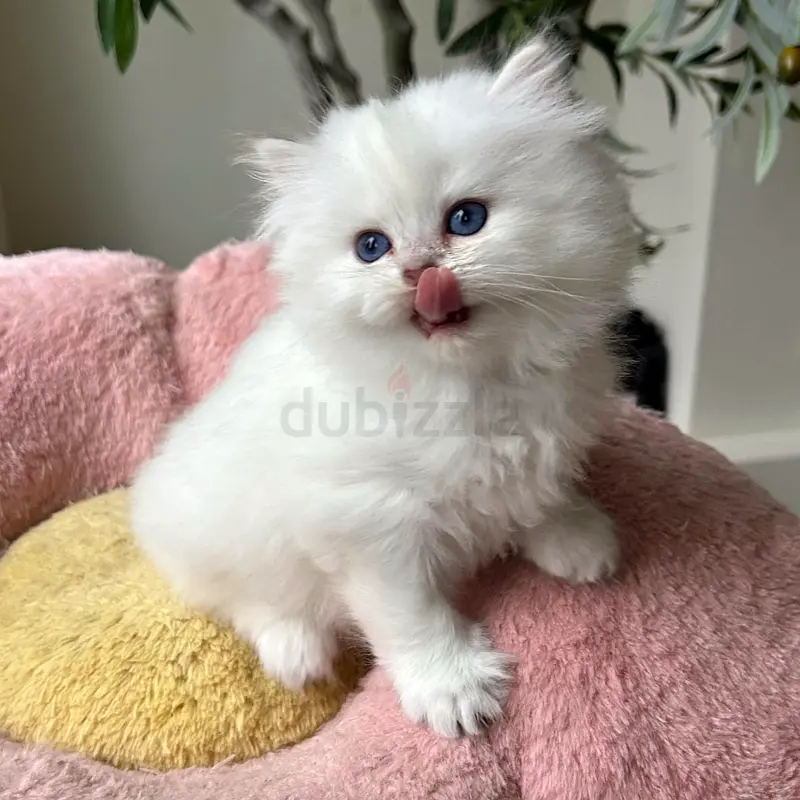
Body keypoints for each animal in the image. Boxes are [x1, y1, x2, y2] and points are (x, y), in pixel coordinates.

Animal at [130, 37, 638, 738]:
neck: (472, 382)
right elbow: (411, 615)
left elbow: (541, 495)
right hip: (216, 531)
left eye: (466, 219)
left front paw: (576, 541)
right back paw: (297, 652)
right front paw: (453, 690)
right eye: (371, 247)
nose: (421, 271)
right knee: (241, 598)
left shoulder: (549, 438)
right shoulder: (369, 523)